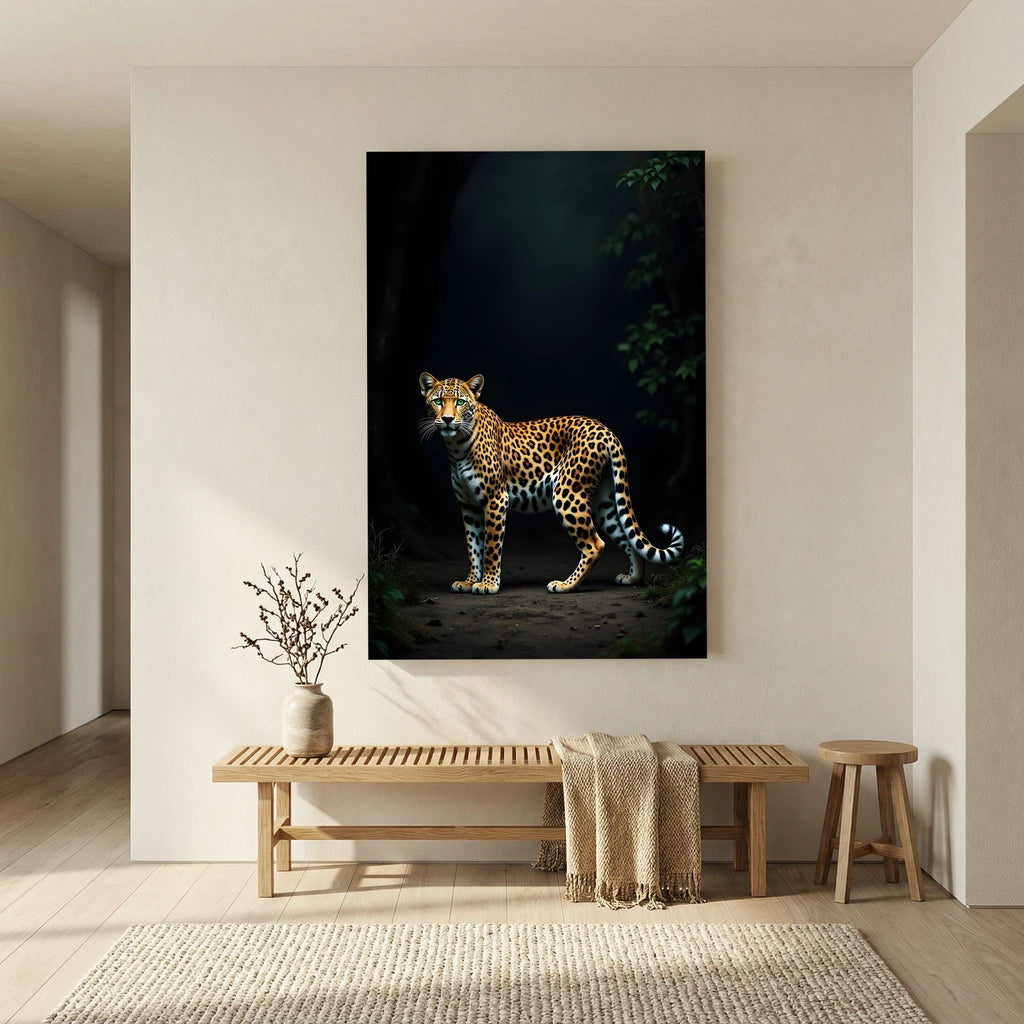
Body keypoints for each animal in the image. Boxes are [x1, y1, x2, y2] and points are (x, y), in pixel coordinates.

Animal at [418, 371, 684, 595]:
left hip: (567, 494)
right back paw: (633, 578)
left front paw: (488, 584)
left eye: (460, 402)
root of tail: (605, 429)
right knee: (627, 537)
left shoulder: (495, 499)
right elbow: (473, 546)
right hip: (603, 502)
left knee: (595, 544)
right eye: (438, 401)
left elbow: (491, 547)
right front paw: (470, 580)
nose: (448, 419)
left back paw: (565, 585)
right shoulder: (469, 505)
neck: (456, 447)